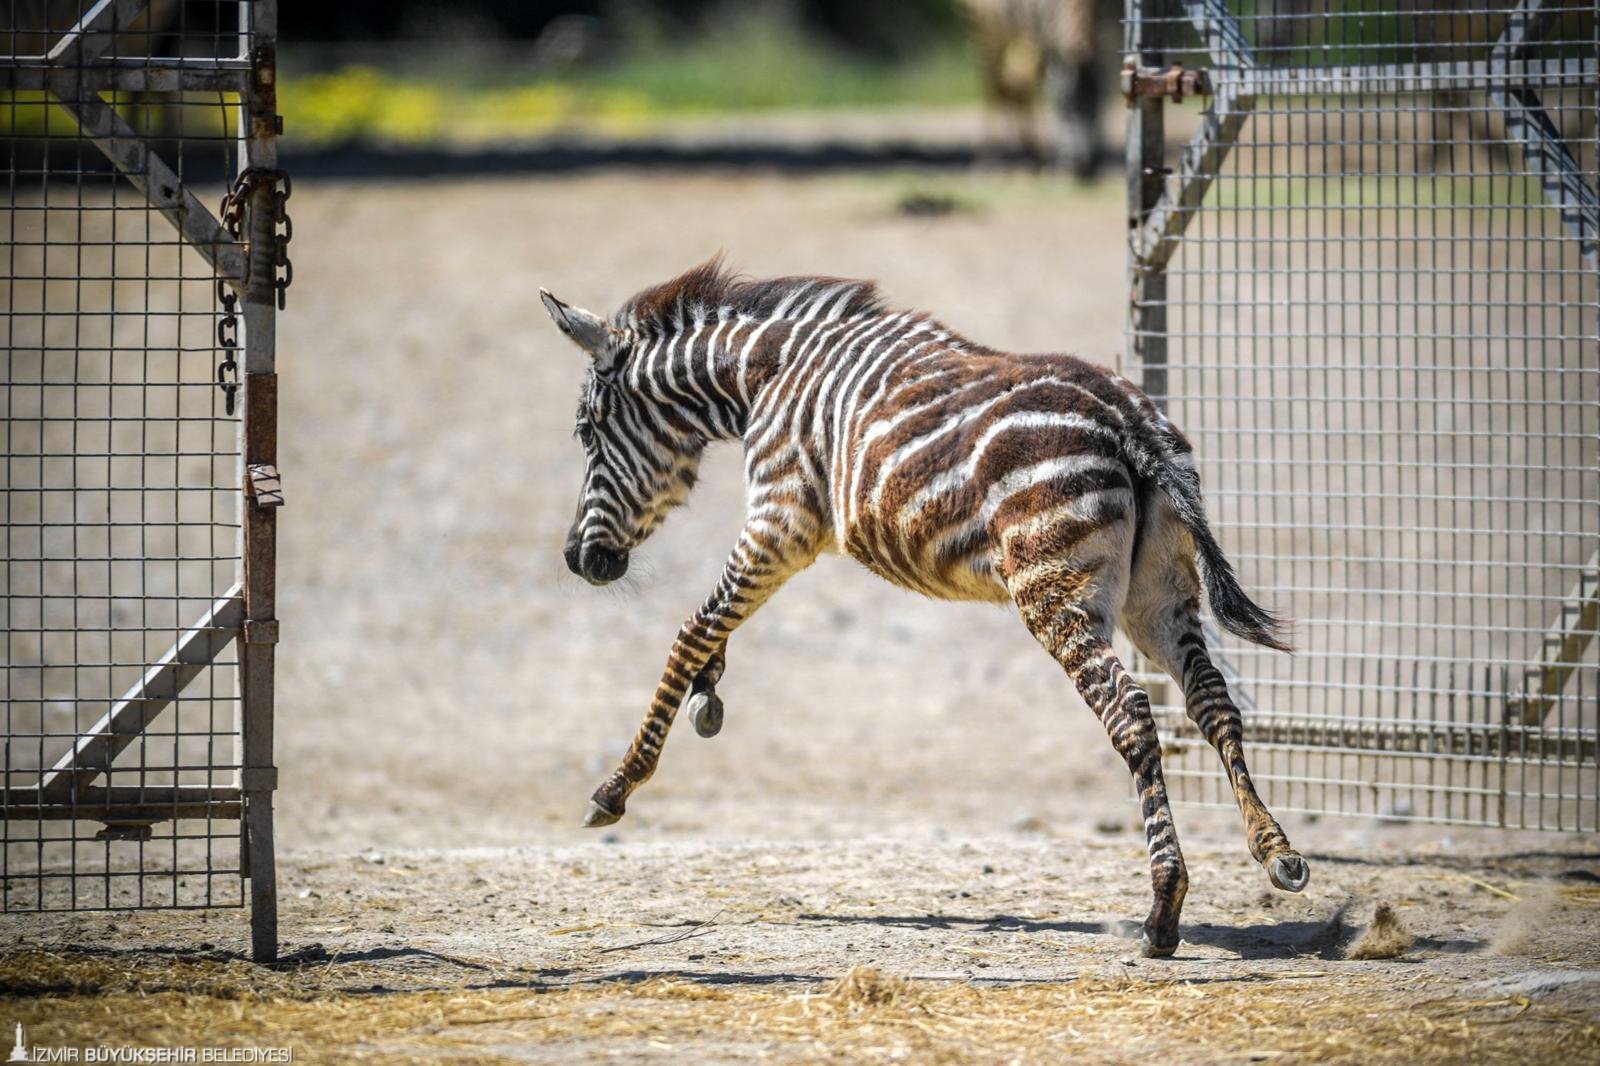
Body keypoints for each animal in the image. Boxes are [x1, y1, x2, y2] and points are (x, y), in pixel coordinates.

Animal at [540, 259, 1309, 957]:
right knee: (1214, 703)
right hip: (1158, 595)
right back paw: (1275, 851)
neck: (763, 376)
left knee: (1132, 717)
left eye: (587, 431)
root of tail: (1131, 421)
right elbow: (714, 626)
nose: (579, 560)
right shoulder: (778, 531)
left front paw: (618, 785)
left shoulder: (780, 520)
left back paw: (1162, 911)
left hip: (1055, 590)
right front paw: (710, 693)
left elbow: (691, 629)